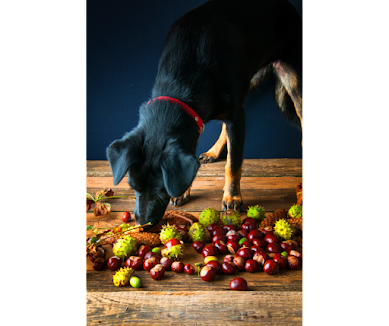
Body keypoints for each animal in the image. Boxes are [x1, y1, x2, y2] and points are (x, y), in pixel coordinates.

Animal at [107, 0, 304, 229]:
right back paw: (213, 151)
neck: (182, 81)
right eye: (133, 187)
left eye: (160, 191)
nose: (142, 224)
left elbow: (233, 163)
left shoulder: (237, 116)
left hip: (293, 80)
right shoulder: (205, 118)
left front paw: (232, 196)